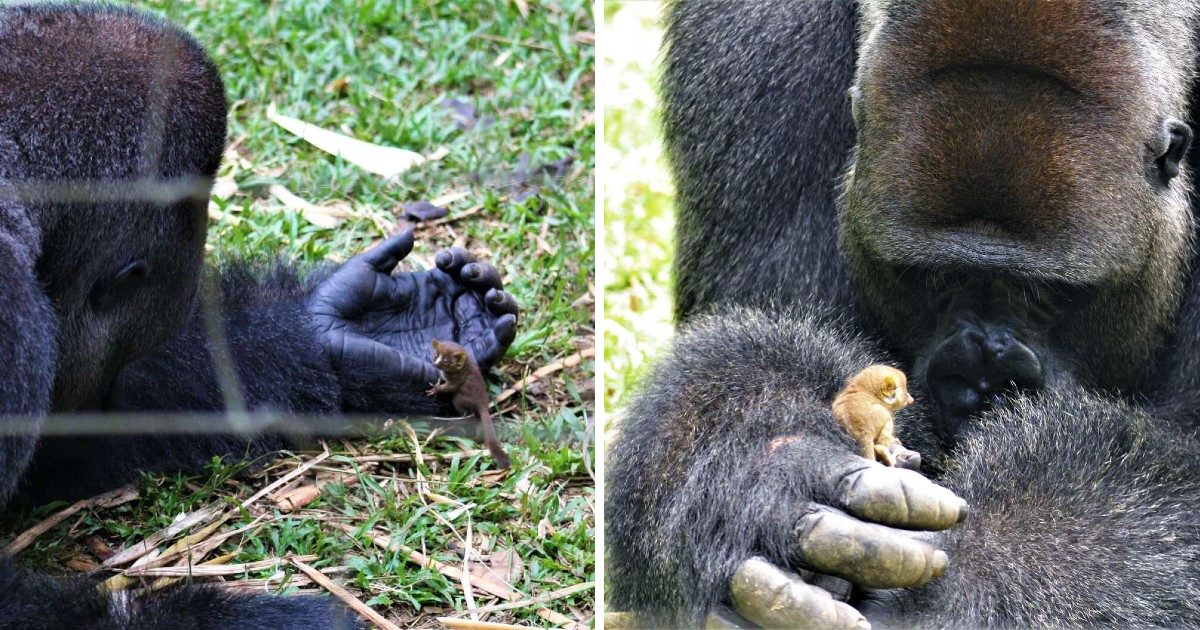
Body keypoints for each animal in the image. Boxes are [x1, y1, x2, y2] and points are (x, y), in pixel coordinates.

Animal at [609, 0, 1200, 624]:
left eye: (1046, 294)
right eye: (933, 279)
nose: (982, 381)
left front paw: (973, 575)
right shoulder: (747, 35)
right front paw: (762, 456)